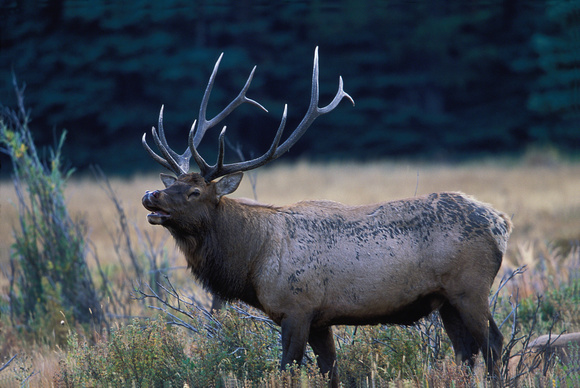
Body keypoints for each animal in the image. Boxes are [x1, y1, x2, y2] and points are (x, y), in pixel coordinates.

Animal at [140, 47, 512, 384]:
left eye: (195, 192)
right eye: (173, 183)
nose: (150, 195)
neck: (253, 261)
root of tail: (501, 223)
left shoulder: (297, 308)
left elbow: (288, 368)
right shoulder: (321, 319)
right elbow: (330, 371)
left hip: (470, 287)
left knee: (493, 343)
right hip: (446, 299)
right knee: (466, 351)